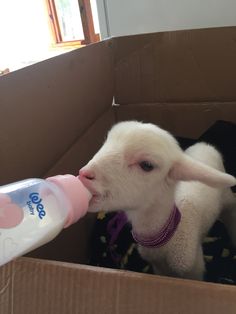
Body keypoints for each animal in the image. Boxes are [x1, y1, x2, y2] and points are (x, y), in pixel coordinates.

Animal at [79, 120, 236, 280]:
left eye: (147, 165)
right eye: (106, 141)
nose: (84, 174)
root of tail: (206, 145)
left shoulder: (193, 272)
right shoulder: (158, 269)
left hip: (228, 199)